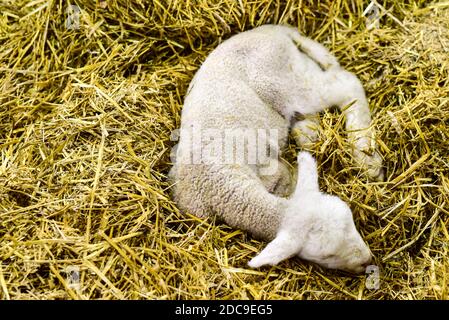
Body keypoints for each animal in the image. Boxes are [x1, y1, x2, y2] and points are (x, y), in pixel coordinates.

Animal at [168, 24, 382, 272]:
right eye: (327, 255)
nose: (367, 260)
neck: (216, 183)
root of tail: (275, 29)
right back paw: (311, 133)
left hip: (293, 80)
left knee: (347, 83)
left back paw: (365, 153)